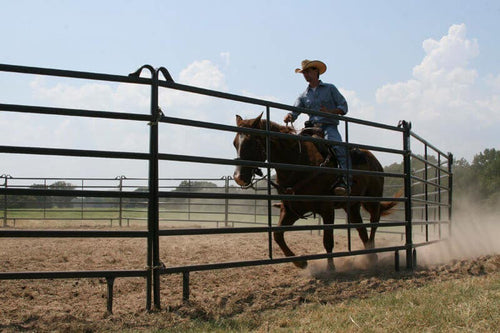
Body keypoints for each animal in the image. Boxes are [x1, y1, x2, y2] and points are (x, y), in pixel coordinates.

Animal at [231, 113, 398, 270]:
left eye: (251, 143)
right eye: (235, 143)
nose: (239, 178)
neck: (298, 163)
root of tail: (374, 160)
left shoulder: (327, 209)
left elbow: (328, 241)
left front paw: (330, 268)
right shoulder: (292, 209)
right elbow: (277, 235)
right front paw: (300, 262)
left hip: (372, 200)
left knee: (374, 223)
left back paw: (373, 254)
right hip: (351, 206)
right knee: (361, 229)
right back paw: (369, 257)